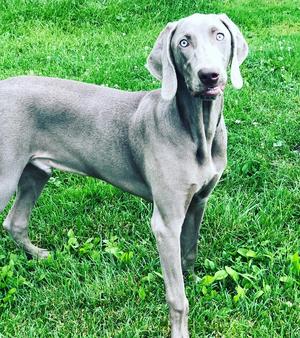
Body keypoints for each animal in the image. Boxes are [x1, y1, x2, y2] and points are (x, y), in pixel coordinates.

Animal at [1, 13, 247, 338]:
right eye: (184, 42)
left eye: (219, 35)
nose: (210, 76)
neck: (198, 130)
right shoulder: (165, 223)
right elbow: (176, 296)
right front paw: (180, 329)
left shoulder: (199, 201)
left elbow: (190, 252)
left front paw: (193, 280)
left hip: (36, 171)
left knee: (15, 222)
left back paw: (38, 255)